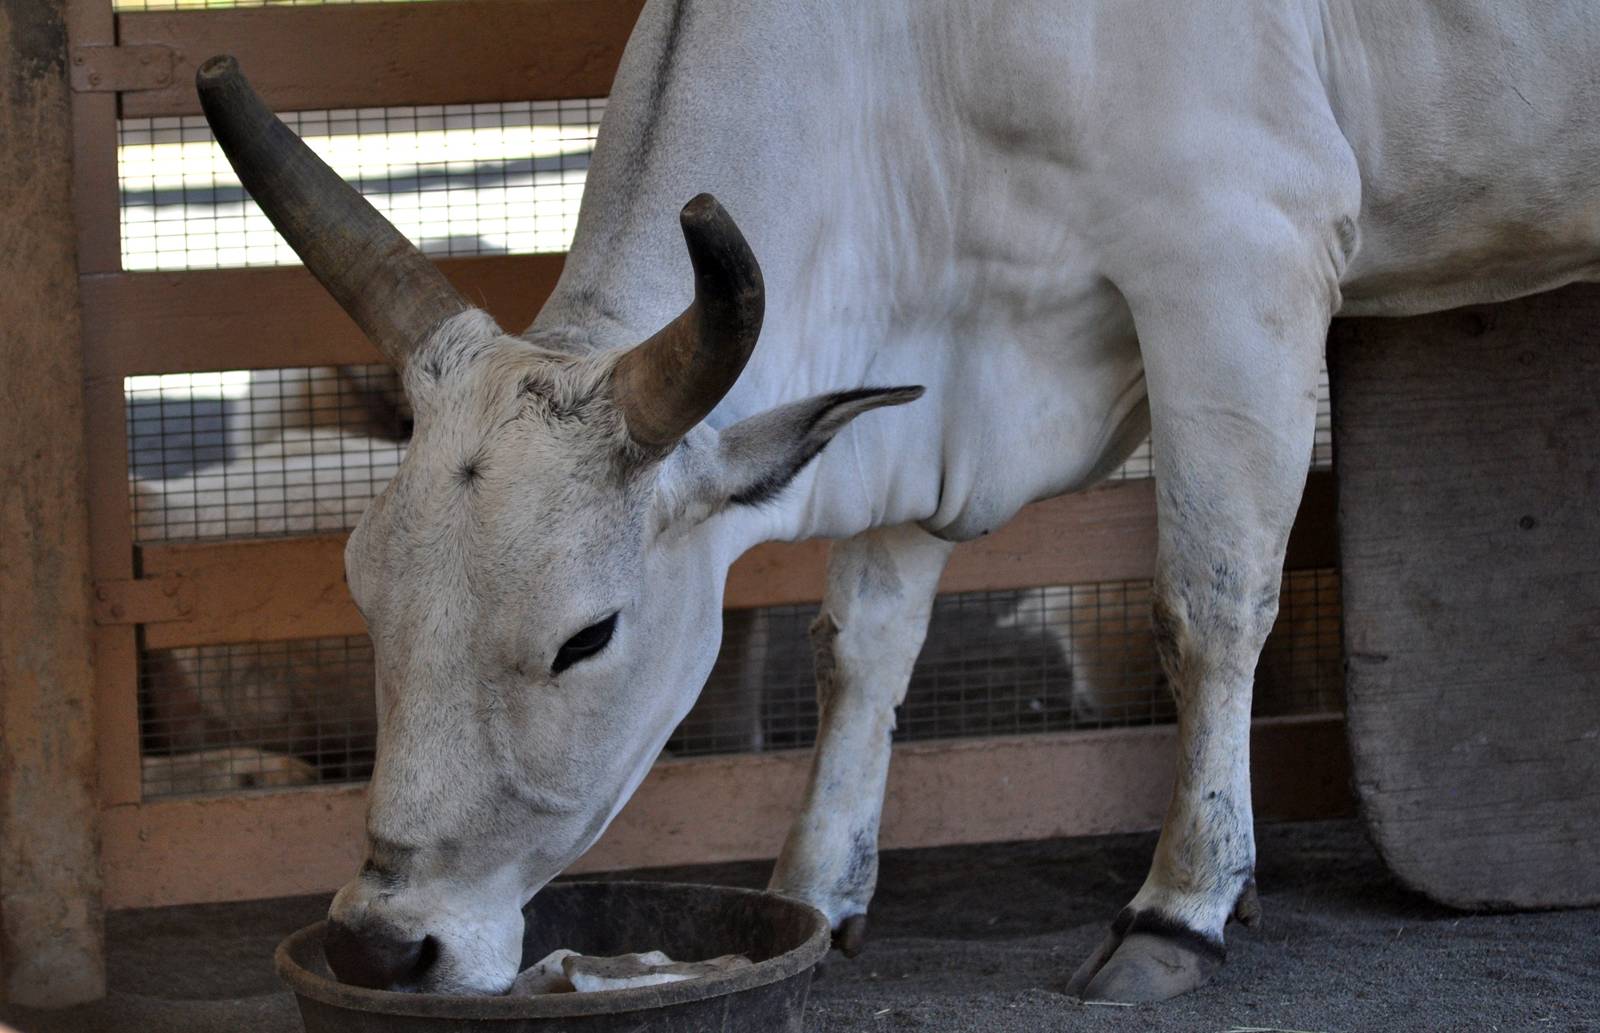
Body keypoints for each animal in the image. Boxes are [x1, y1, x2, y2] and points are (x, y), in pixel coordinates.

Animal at [194, 0, 1600, 1003]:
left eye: (585, 638)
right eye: (363, 594)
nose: (384, 947)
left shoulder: (1236, 260)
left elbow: (1209, 606)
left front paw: (1181, 907)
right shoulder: (920, 380)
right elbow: (860, 650)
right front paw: (820, 892)